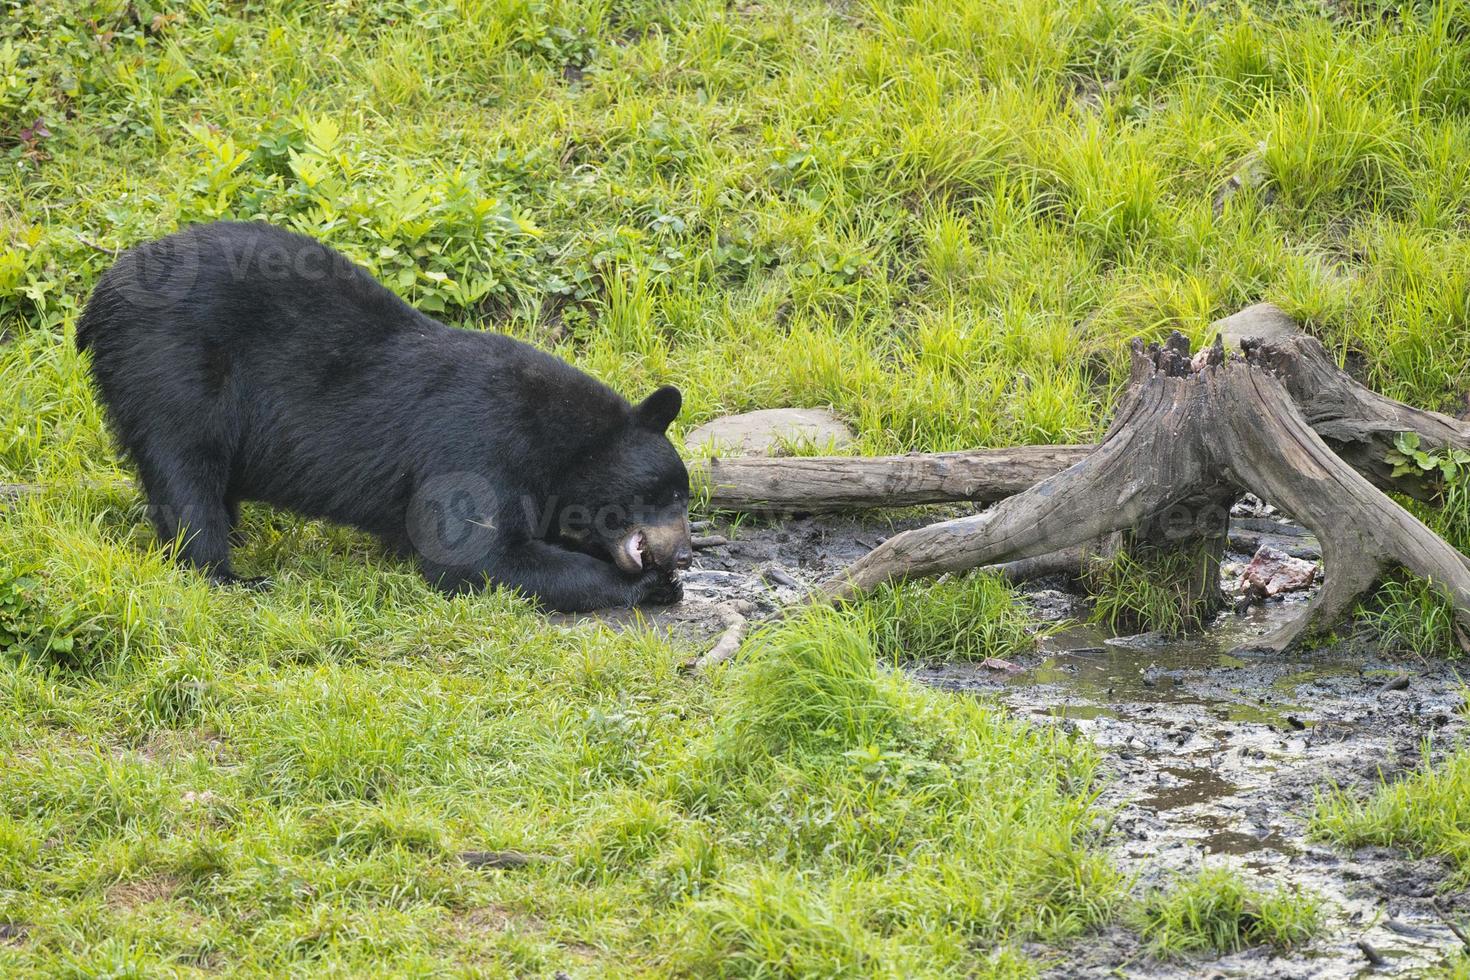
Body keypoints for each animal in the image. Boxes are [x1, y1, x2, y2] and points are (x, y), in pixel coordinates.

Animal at [79, 220, 693, 614]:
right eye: (671, 493)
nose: (684, 553)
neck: (556, 438)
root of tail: (100, 297)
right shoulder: (478, 439)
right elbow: (474, 552)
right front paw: (651, 586)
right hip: (170, 366)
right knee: (185, 469)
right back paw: (230, 574)